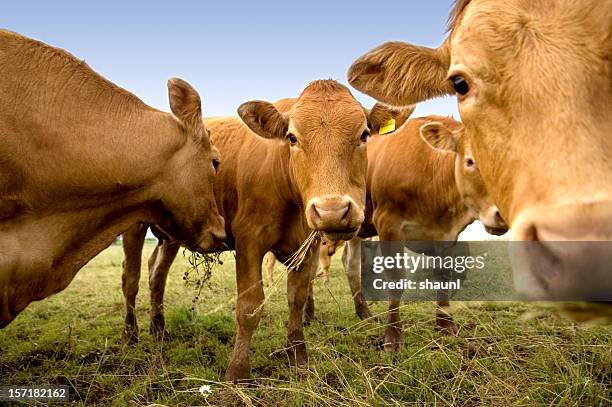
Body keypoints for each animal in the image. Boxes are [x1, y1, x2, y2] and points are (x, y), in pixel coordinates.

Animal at [118, 80, 412, 382]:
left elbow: (296, 300)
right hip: (133, 225)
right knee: (131, 279)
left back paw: (159, 328)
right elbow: (249, 306)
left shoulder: (307, 248)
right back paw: (131, 336)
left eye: (364, 134)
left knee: (157, 274)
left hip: (172, 234)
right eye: (292, 137)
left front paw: (299, 358)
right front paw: (237, 371)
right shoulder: (249, 241)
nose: (332, 211)